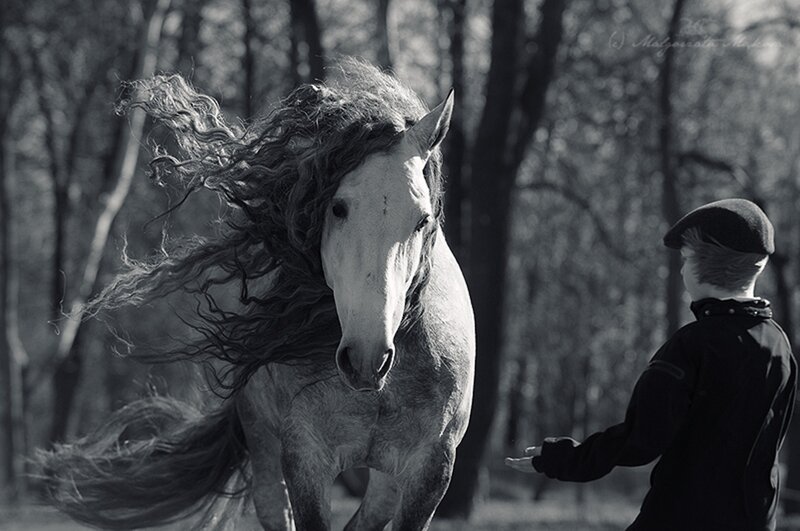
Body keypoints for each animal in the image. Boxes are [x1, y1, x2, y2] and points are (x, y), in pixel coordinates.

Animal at [37, 59, 475, 531]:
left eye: (422, 220)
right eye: (338, 207)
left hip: (384, 483)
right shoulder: (305, 456)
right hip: (266, 446)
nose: (366, 359)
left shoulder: (428, 470)